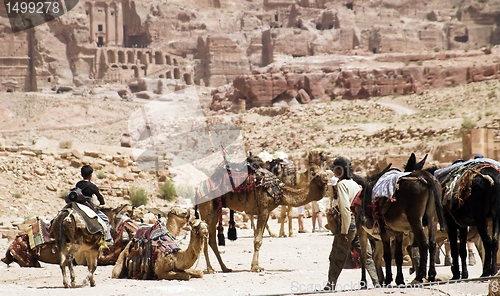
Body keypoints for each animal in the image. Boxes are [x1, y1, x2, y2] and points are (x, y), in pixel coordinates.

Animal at [194, 163, 328, 272]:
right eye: (316, 175)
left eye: (325, 172)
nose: (326, 178)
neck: (277, 190)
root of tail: (197, 188)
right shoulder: (263, 210)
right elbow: (257, 240)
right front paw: (255, 267)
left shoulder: (267, 212)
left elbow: (260, 239)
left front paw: (257, 265)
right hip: (207, 208)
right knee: (205, 237)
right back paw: (210, 269)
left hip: (216, 210)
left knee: (211, 239)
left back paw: (225, 268)